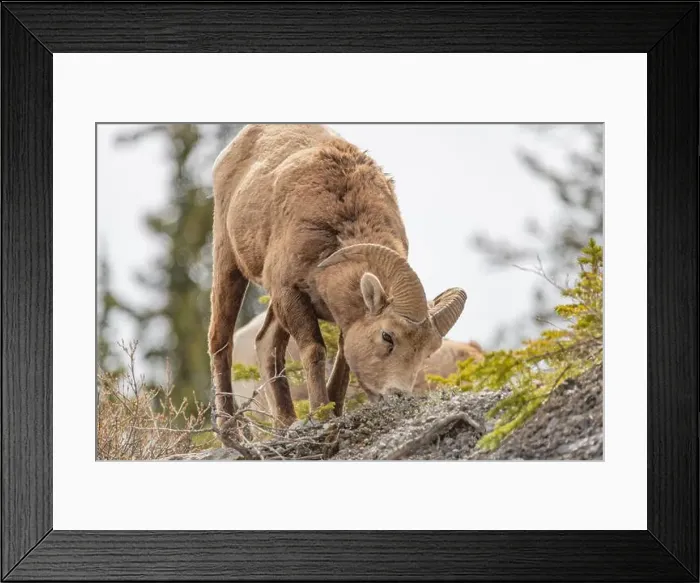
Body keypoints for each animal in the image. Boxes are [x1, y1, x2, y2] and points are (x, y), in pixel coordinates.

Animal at [208, 124, 467, 426]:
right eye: (387, 337)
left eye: (428, 351)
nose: (398, 395)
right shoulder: (290, 293)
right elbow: (315, 351)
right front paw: (321, 412)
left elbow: (343, 360)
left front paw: (333, 410)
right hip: (228, 261)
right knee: (220, 343)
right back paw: (230, 430)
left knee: (266, 345)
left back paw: (286, 423)